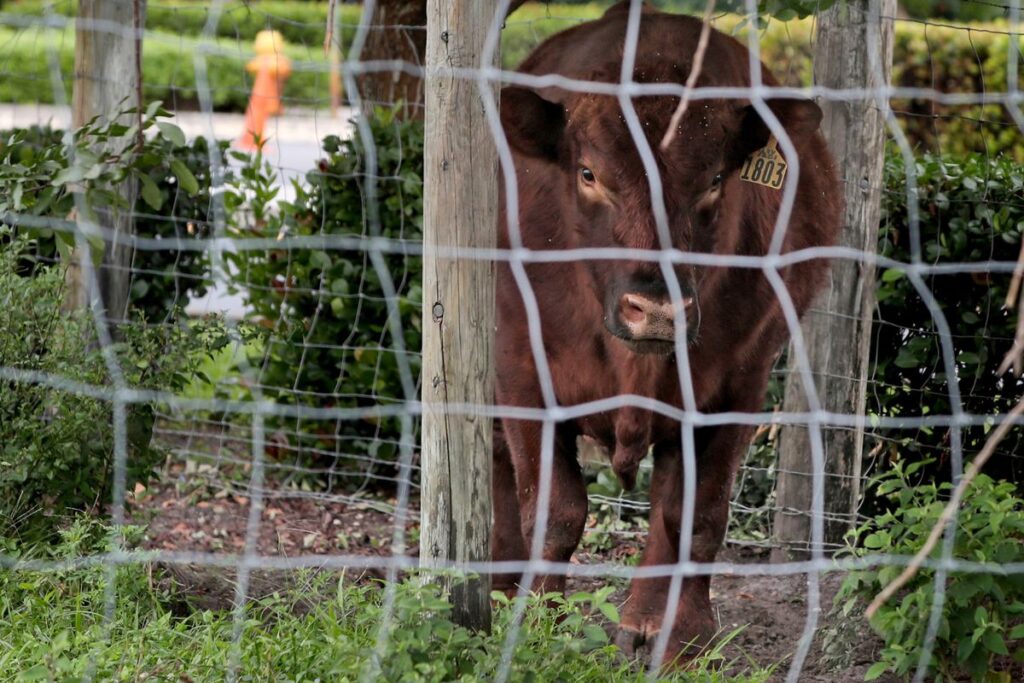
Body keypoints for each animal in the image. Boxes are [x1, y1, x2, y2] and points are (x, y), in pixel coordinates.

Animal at [493, 0, 839, 663]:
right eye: (588, 173)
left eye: (714, 181)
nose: (656, 310)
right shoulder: (522, 369)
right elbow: (552, 510)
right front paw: (535, 621)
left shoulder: (737, 383)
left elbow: (692, 516)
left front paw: (677, 632)